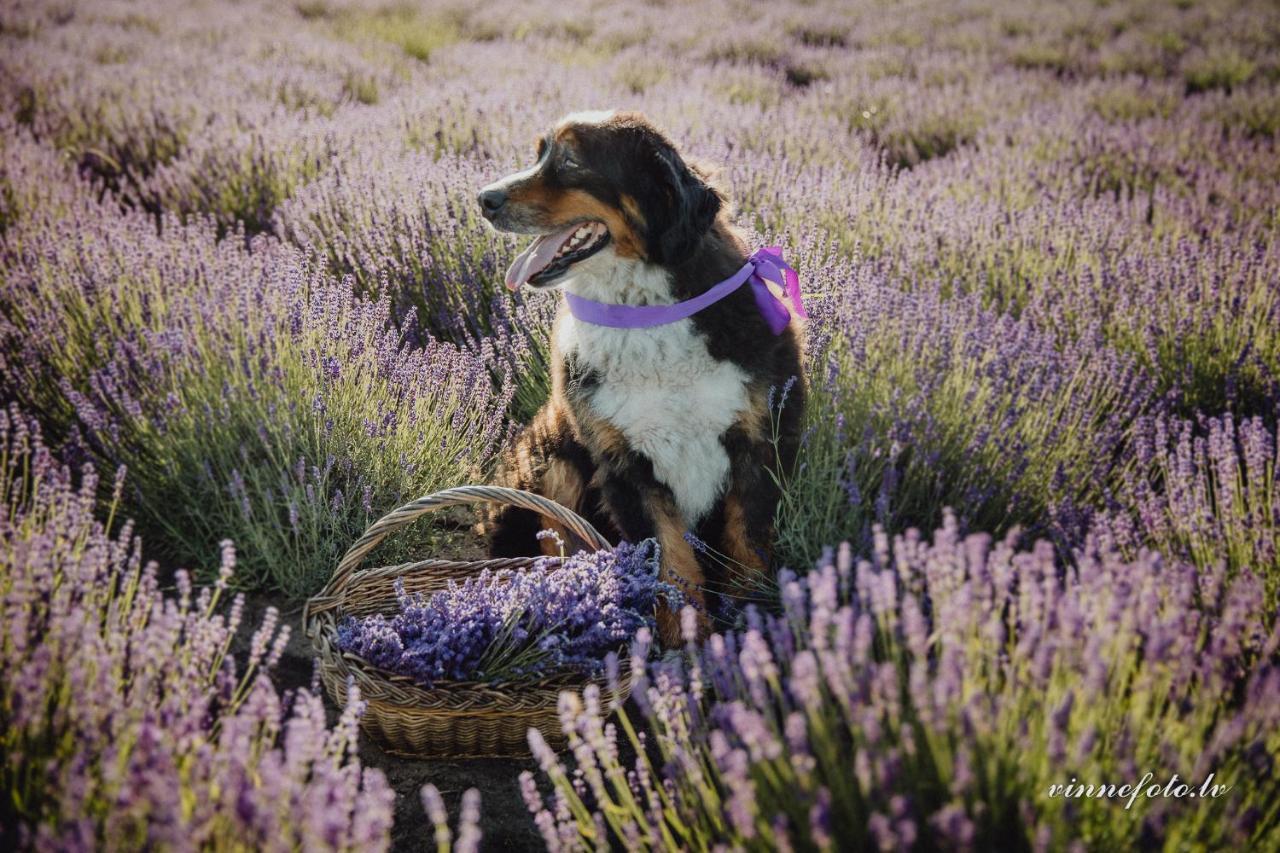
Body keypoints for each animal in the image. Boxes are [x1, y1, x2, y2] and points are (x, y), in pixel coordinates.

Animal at [476, 109, 803, 640]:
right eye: (539, 153)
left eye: (571, 160)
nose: (485, 198)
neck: (645, 316)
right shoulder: (625, 467)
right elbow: (672, 572)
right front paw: (684, 649)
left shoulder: (759, 446)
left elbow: (747, 557)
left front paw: (747, 631)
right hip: (550, 465)